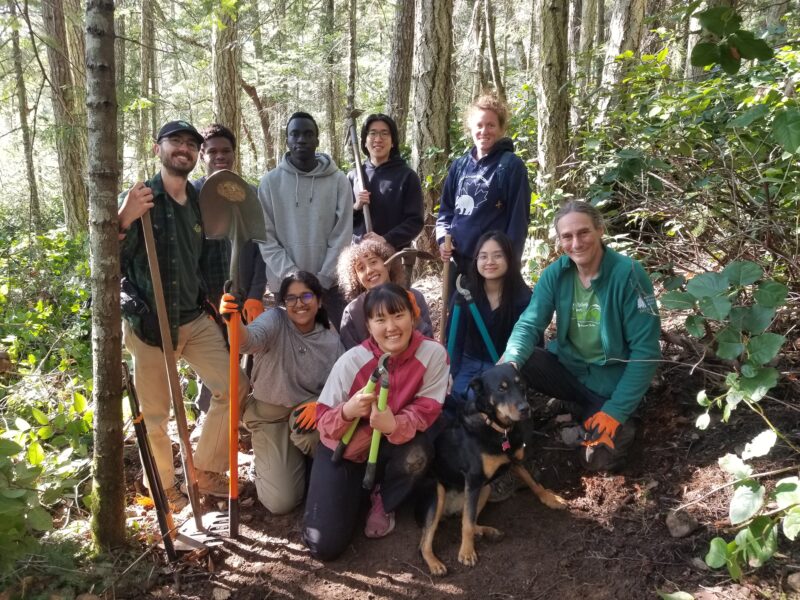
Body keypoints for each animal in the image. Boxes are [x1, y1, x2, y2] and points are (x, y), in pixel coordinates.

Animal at [416, 364, 564, 576]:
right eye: (501, 388)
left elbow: (533, 482)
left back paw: (488, 531)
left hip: (485, 489)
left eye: (521, 385)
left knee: (465, 518)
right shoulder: (473, 480)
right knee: (427, 541)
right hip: (439, 492)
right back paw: (435, 564)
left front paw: (550, 499)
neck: (499, 429)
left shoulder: (515, 461)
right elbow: (467, 524)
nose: (525, 409)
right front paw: (466, 552)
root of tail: (450, 510)